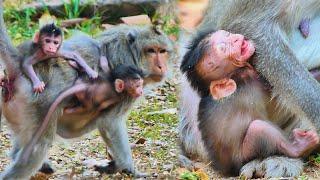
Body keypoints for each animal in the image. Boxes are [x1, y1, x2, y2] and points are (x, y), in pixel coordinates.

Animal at [0, 0, 175, 179]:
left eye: (162, 51)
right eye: (151, 51)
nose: (161, 66)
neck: (132, 52)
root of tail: (20, 67)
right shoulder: (128, 81)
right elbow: (110, 122)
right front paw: (129, 168)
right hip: (38, 106)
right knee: (39, 146)